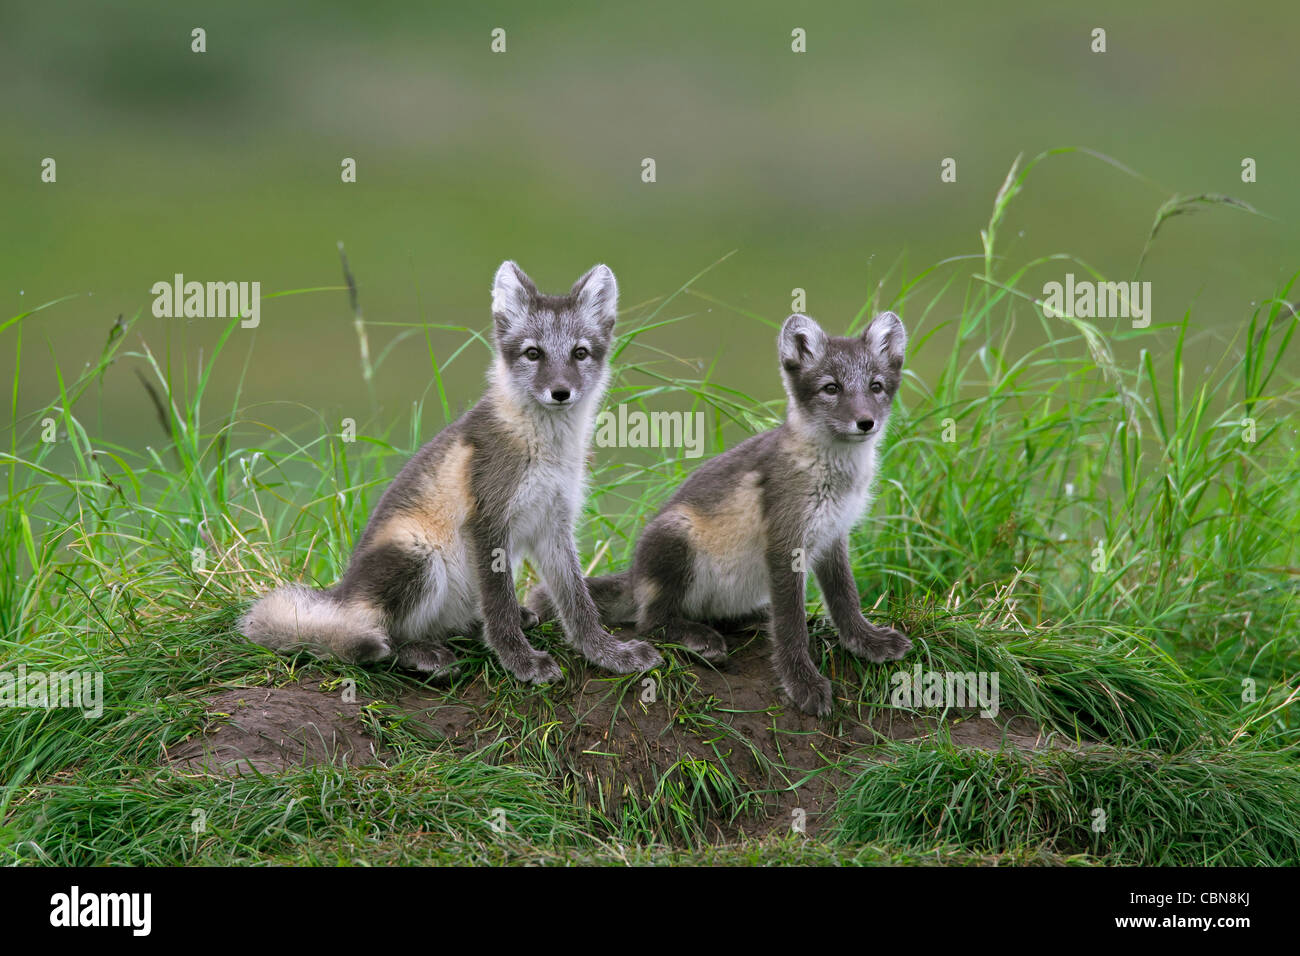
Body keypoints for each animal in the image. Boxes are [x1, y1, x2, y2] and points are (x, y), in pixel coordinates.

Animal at [241, 261, 663, 683]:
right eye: (533, 353)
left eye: (580, 353)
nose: (560, 392)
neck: (544, 448)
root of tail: (342, 594)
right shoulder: (488, 521)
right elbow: (499, 606)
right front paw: (521, 662)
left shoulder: (554, 524)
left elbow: (577, 603)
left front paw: (608, 653)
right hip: (419, 556)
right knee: (378, 637)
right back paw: (422, 655)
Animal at [528, 310, 912, 715]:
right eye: (831, 388)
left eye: (875, 386)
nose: (866, 422)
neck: (833, 475)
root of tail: (634, 576)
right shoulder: (785, 542)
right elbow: (791, 626)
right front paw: (802, 683)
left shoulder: (833, 535)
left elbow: (845, 599)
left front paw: (868, 642)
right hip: (677, 537)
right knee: (650, 622)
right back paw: (699, 638)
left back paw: (752, 619)